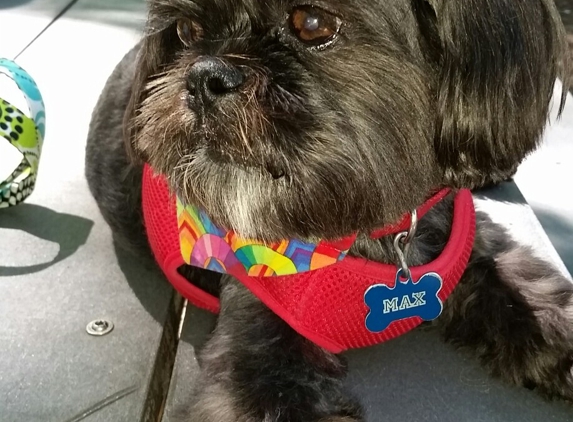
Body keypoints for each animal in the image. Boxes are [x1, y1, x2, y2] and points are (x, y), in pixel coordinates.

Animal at [85, 1, 572, 420]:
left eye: (312, 24)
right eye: (186, 32)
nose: (206, 76)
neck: (369, 230)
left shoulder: (471, 248)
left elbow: (534, 294)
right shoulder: (257, 359)